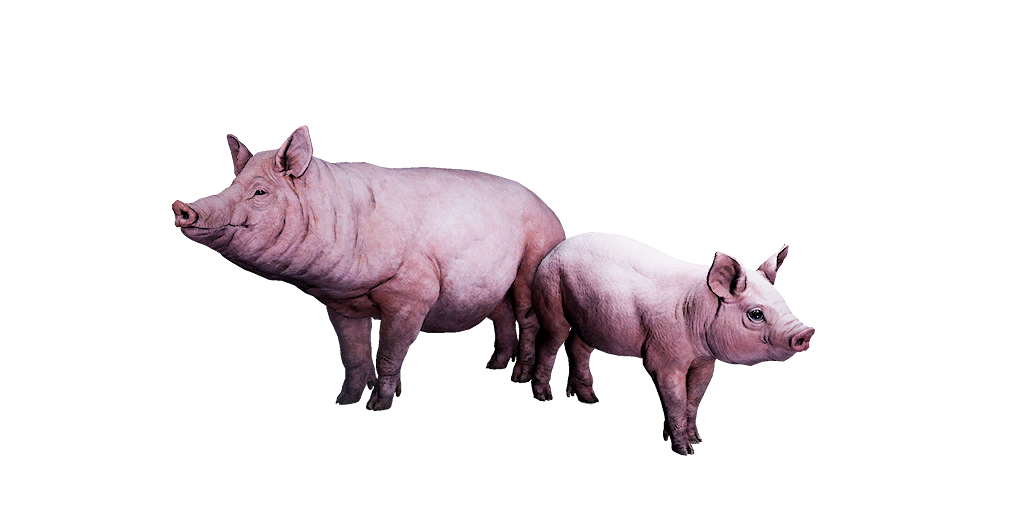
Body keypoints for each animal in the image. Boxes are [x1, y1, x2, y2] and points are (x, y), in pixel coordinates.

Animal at [172, 126, 564, 410]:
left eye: (259, 193)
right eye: (232, 185)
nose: (182, 208)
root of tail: (548, 209)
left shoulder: (413, 293)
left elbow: (388, 354)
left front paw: (380, 405)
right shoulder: (341, 304)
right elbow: (354, 354)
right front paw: (346, 400)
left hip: (534, 255)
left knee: (528, 317)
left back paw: (518, 379)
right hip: (494, 283)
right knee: (502, 314)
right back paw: (494, 367)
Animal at [528, 232, 812, 454]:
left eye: (782, 299)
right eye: (755, 314)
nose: (805, 333)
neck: (696, 311)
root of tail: (554, 250)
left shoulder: (705, 362)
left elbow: (693, 399)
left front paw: (698, 440)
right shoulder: (663, 358)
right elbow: (676, 401)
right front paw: (685, 450)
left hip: (587, 319)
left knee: (577, 347)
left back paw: (590, 399)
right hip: (550, 293)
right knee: (550, 340)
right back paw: (544, 397)